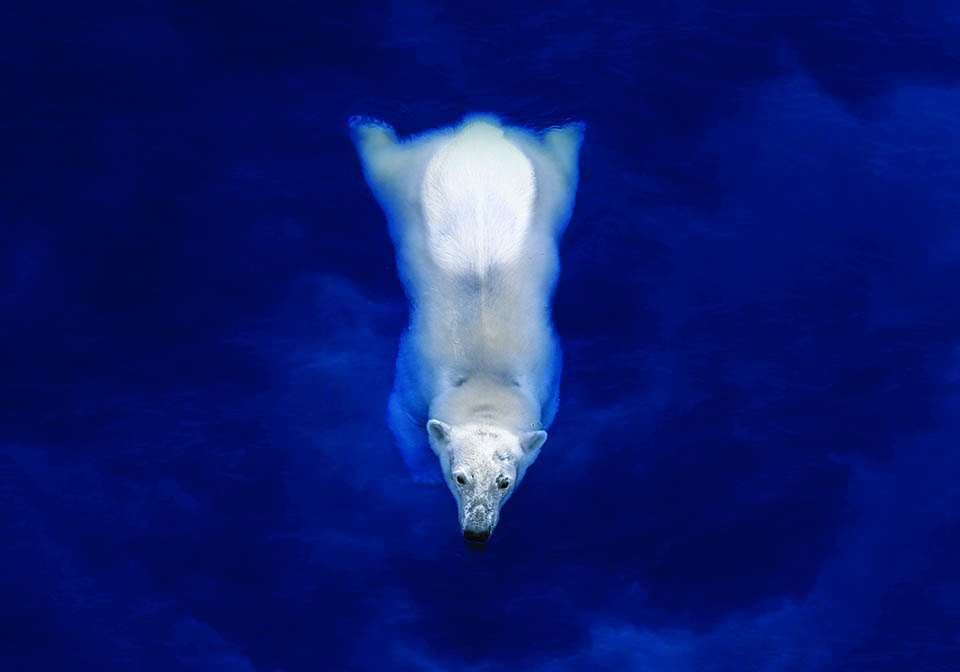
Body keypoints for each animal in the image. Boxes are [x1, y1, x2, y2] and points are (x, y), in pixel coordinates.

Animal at [349, 113, 584, 542]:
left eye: (504, 481)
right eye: (459, 477)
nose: (477, 534)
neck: (483, 373)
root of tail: (479, 132)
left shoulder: (547, 387)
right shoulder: (416, 378)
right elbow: (400, 415)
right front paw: (422, 473)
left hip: (551, 185)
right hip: (408, 180)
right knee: (382, 162)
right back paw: (365, 126)